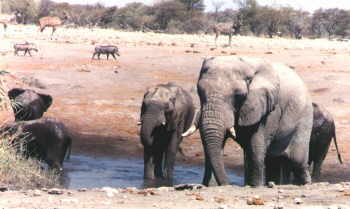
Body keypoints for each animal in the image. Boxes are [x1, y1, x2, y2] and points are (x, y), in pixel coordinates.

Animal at [182, 56, 314, 186]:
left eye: (238, 95)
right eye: (199, 91)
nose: (228, 184)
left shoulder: (270, 107)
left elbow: (256, 145)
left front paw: (256, 187)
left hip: (304, 116)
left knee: (297, 159)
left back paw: (305, 184)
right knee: (273, 161)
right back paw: (273, 183)